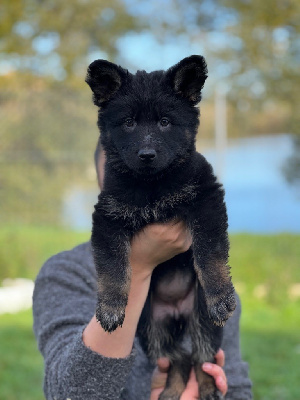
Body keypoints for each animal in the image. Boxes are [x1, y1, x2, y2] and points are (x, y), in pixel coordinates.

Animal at [85, 56, 236, 400]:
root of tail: (177, 309)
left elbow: (209, 252)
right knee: (178, 359)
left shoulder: (206, 199)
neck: (152, 185)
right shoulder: (108, 217)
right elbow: (113, 266)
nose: (147, 155)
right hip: (150, 327)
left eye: (165, 122)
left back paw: (208, 389)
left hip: (202, 320)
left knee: (201, 357)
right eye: (128, 123)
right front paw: (110, 306)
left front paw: (221, 295)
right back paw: (170, 392)